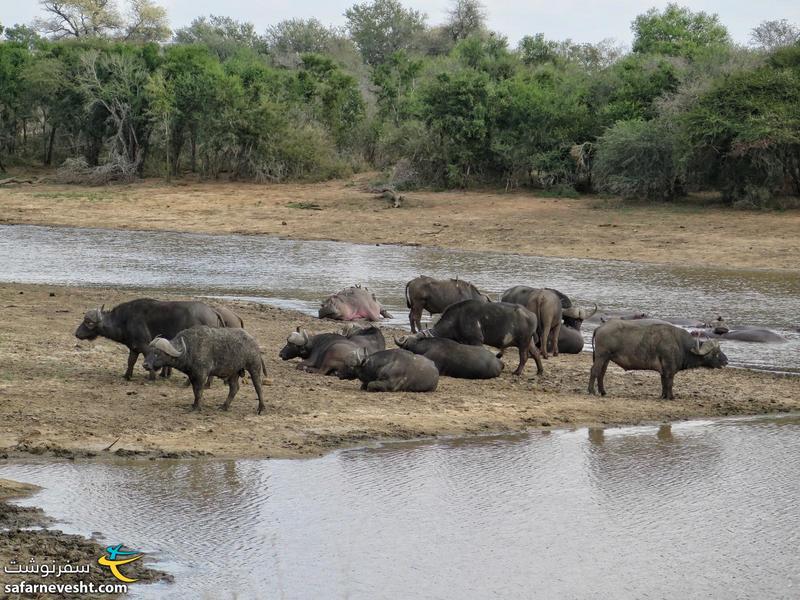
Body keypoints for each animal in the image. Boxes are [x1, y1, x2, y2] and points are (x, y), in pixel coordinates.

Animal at [588, 322, 732, 400]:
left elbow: (663, 383)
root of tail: (600, 327)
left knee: (601, 373)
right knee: (594, 371)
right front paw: (671, 397)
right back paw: (591, 391)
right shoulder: (669, 368)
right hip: (601, 356)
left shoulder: (664, 370)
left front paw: (663, 396)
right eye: (716, 353)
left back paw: (603, 391)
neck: (681, 344)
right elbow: (670, 383)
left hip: (606, 358)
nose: (726, 361)